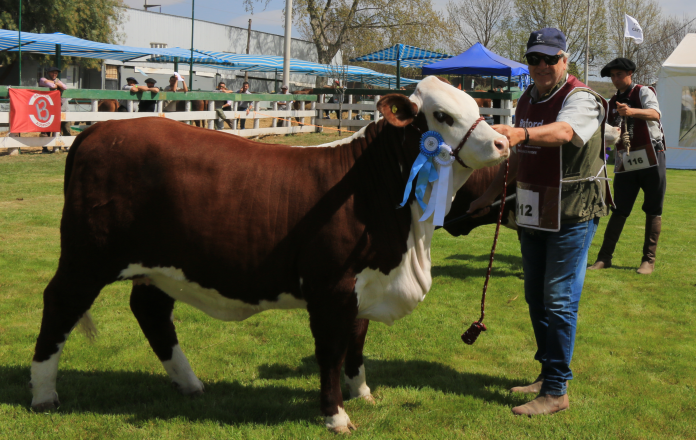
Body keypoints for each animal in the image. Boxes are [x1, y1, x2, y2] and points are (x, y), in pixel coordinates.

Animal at [29, 76, 508, 434]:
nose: (503, 144)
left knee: (150, 311)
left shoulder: (365, 281)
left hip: (159, 264)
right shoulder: (331, 288)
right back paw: (43, 394)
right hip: (87, 256)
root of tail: (99, 130)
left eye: (475, 106)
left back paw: (190, 383)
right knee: (60, 303)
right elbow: (331, 351)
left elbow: (357, 340)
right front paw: (335, 414)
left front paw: (363, 393)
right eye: (442, 116)